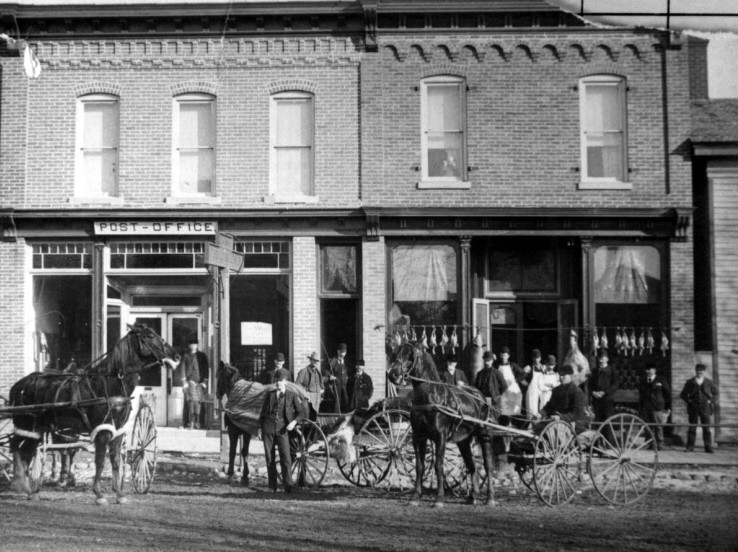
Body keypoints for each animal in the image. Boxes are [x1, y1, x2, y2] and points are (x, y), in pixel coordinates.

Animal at [9, 324, 178, 504]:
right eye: (150, 335)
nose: (176, 356)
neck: (110, 383)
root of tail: (19, 385)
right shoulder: (102, 430)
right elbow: (100, 462)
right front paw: (99, 494)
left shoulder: (117, 431)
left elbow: (115, 462)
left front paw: (119, 493)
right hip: (26, 425)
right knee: (18, 449)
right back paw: (23, 486)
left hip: (37, 429)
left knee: (26, 452)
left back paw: (30, 491)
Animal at [386, 340, 500, 508]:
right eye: (396, 353)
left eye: (410, 355)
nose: (393, 375)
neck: (430, 396)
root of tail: (480, 396)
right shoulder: (418, 437)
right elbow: (419, 466)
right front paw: (415, 497)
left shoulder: (441, 437)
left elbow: (438, 466)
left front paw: (439, 499)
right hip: (463, 440)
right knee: (471, 465)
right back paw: (473, 497)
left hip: (484, 434)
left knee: (487, 465)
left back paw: (490, 498)